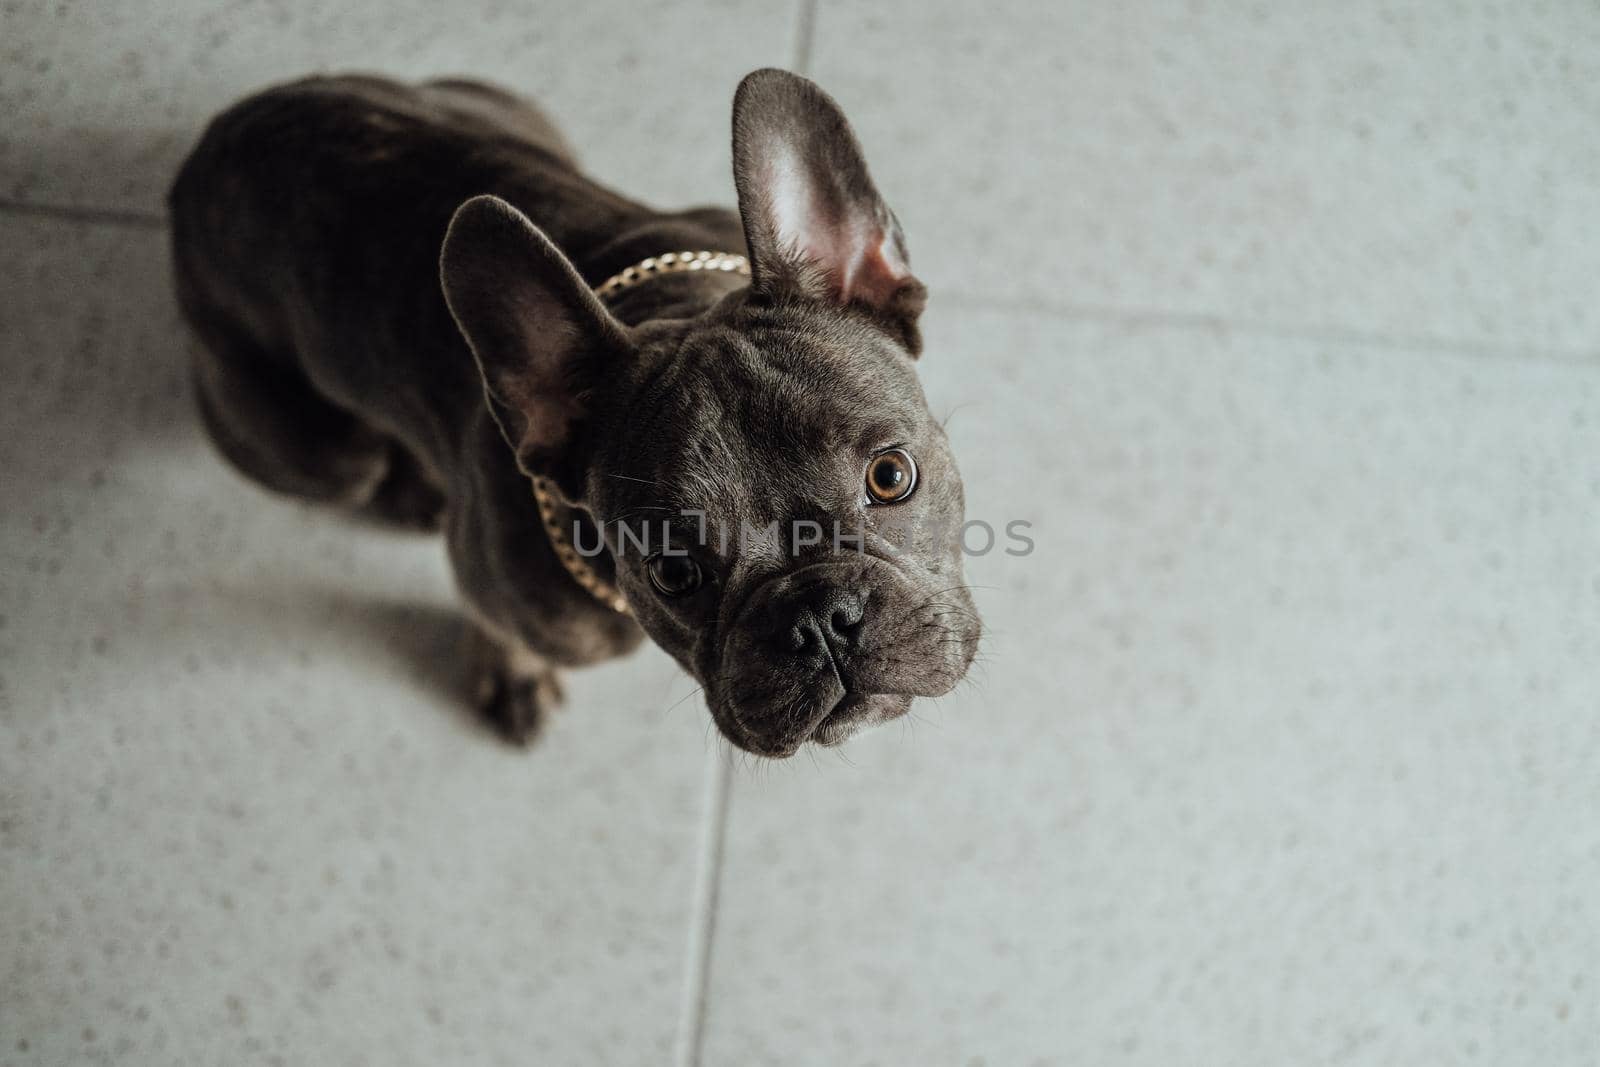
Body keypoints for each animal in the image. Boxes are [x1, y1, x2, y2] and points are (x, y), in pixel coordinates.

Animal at [168, 66, 979, 755]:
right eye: (672, 571)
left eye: (890, 477)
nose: (820, 619)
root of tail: (207, 150)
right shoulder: (500, 592)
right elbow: (494, 624)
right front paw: (515, 678)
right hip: (323, 456)